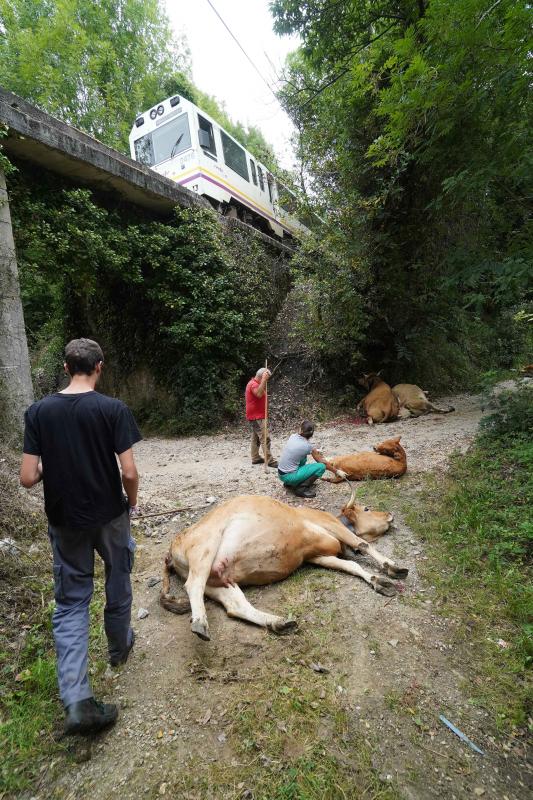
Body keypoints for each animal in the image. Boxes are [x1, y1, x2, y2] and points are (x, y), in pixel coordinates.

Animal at [160, 493, 407, 641]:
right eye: (367, 508)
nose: (389, 514)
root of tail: (170, 550)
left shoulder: (317, 555)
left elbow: (351, 565)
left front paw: (378, 581)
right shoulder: (329, 524)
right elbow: (362, 545)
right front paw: (392, 567)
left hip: (220, 579)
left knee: (235, 605)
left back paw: (278, 622)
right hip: (205, 548)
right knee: (193, 585)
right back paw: (200, 623)